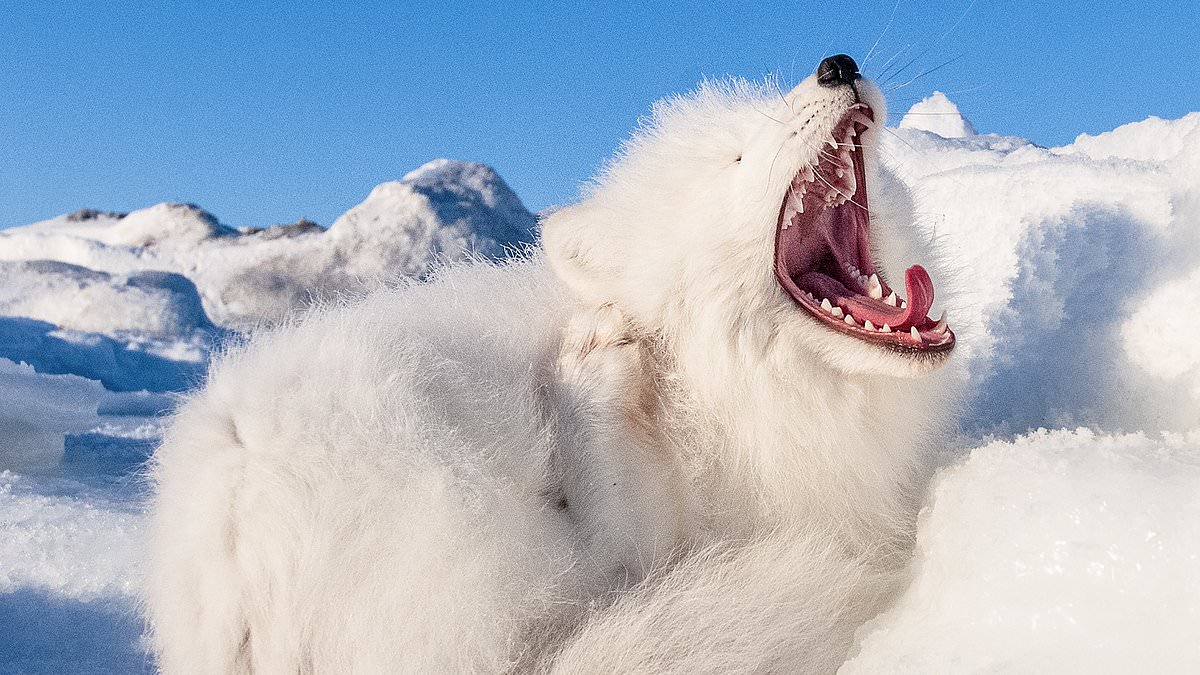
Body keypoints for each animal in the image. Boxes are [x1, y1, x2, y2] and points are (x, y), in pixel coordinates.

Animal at [147, 53, 955, 672]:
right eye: (734, 158)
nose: (836, 64)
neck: (697, 379)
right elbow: (636, 551)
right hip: (465, 507)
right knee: (601, 583)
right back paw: (588, 379)